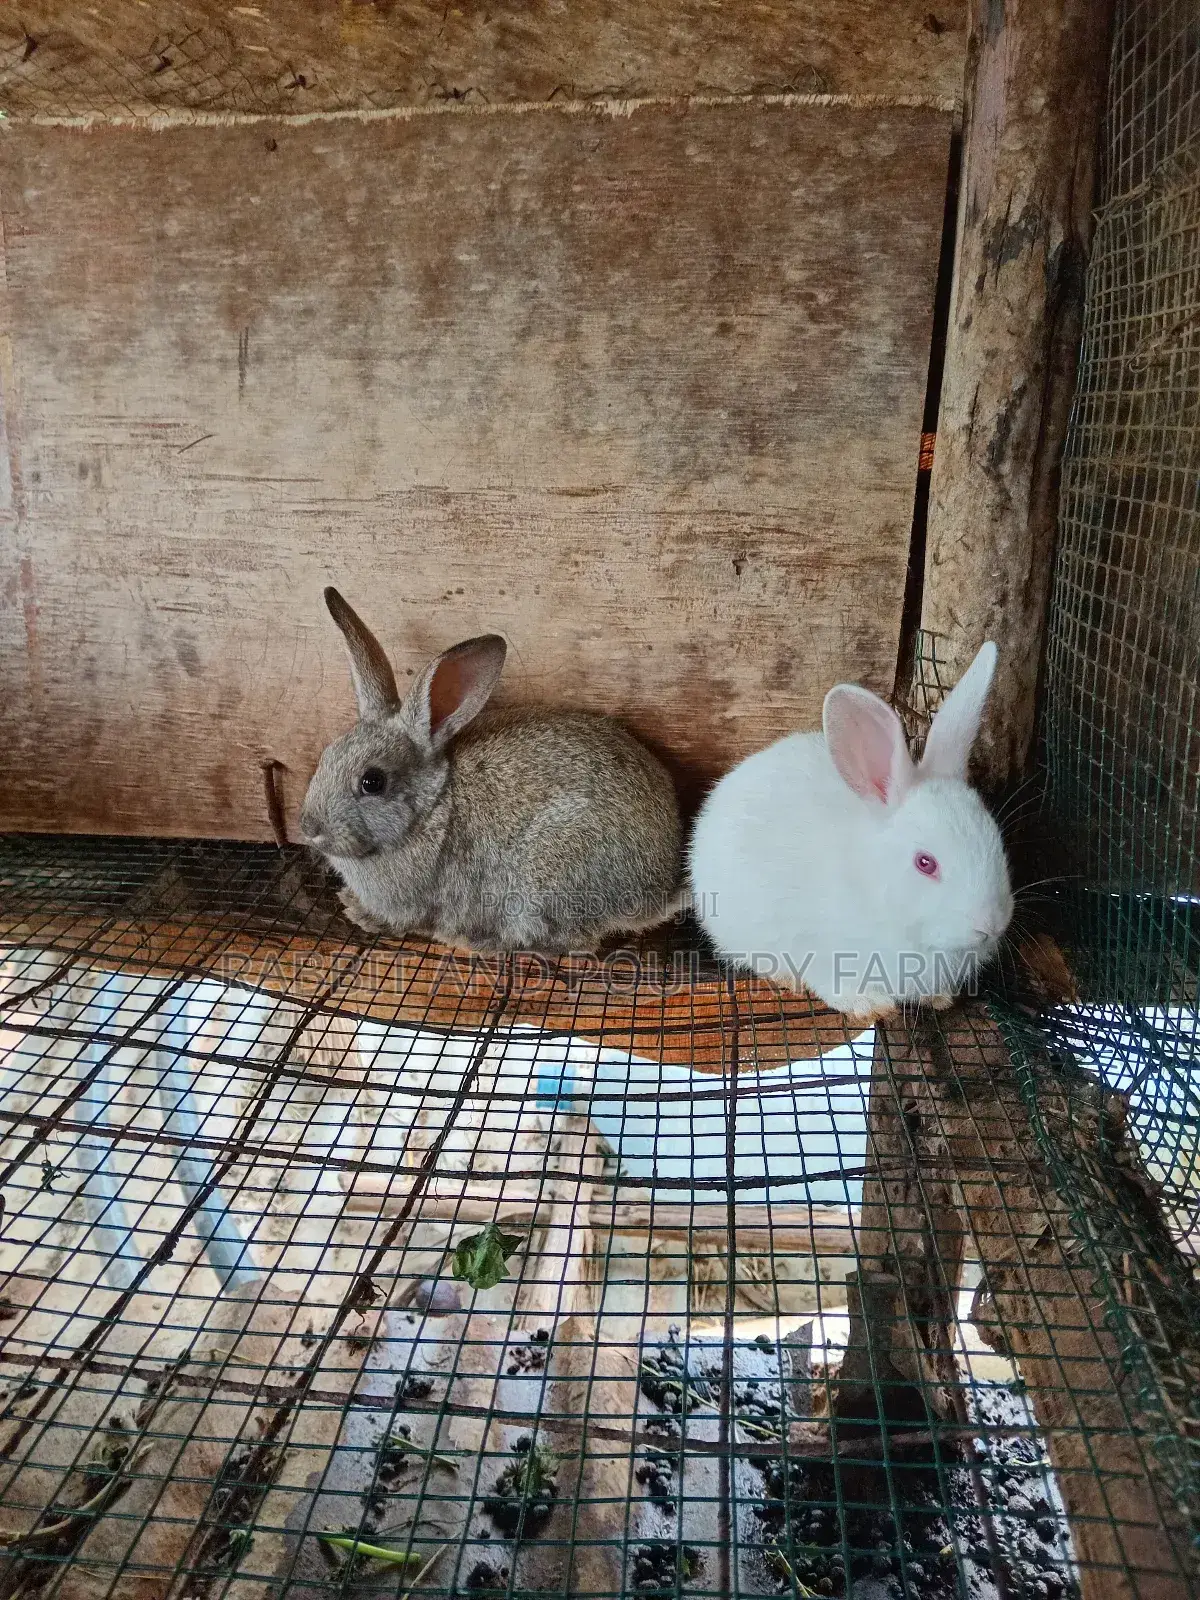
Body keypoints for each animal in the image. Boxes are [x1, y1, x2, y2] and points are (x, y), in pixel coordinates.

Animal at [300, 588, 683, 953]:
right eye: (327, 755)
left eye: (372, 782)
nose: (308, 827)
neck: (431, 809)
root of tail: (657, 893)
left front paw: (360, 913)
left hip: (547, 874)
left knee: (571, 943)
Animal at [688, 642, 1014, 1024]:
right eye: (925, 863)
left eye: (996, 838)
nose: (992, 925)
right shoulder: (821, 951)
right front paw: (869, 1005)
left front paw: (939, 997)